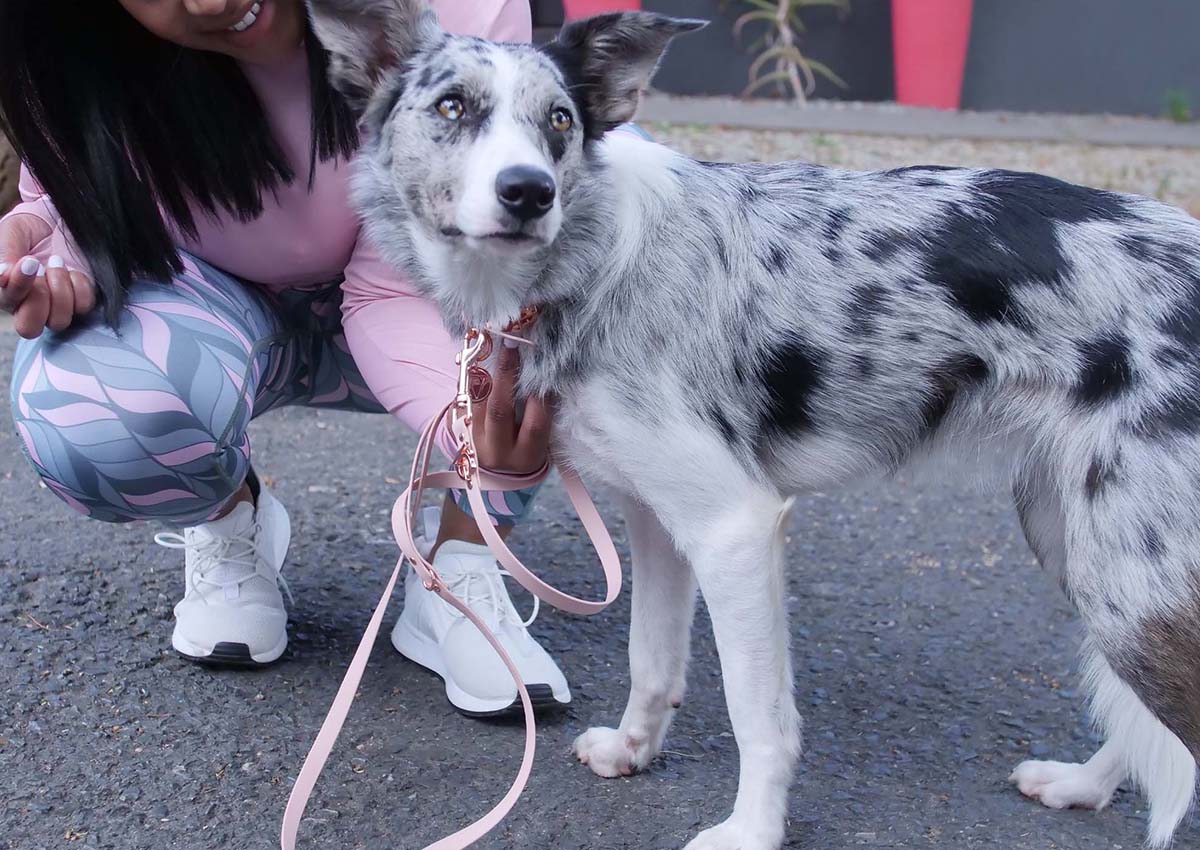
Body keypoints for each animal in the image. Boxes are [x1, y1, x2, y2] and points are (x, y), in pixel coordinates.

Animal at [307, 3, 1200, 845]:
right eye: (452, 106)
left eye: (559, 119)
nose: (530, 192)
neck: (594, 258)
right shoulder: (657, 521)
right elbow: (652, 660)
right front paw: (633, 751)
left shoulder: (733, 527)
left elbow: (758, 716)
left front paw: (754, 831)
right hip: (1083, 550)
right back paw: (1083, 785)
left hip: (1130, 579)